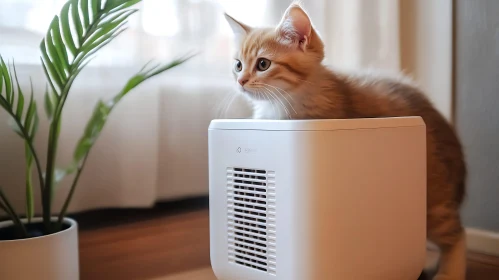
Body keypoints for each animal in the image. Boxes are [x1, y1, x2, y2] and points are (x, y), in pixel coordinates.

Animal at [225, 2, 466, 280]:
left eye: (263, 64)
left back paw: (450, 272)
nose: (240, 81)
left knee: (457, 233)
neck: (283, 103)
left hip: (433, 198)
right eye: (238, 65)